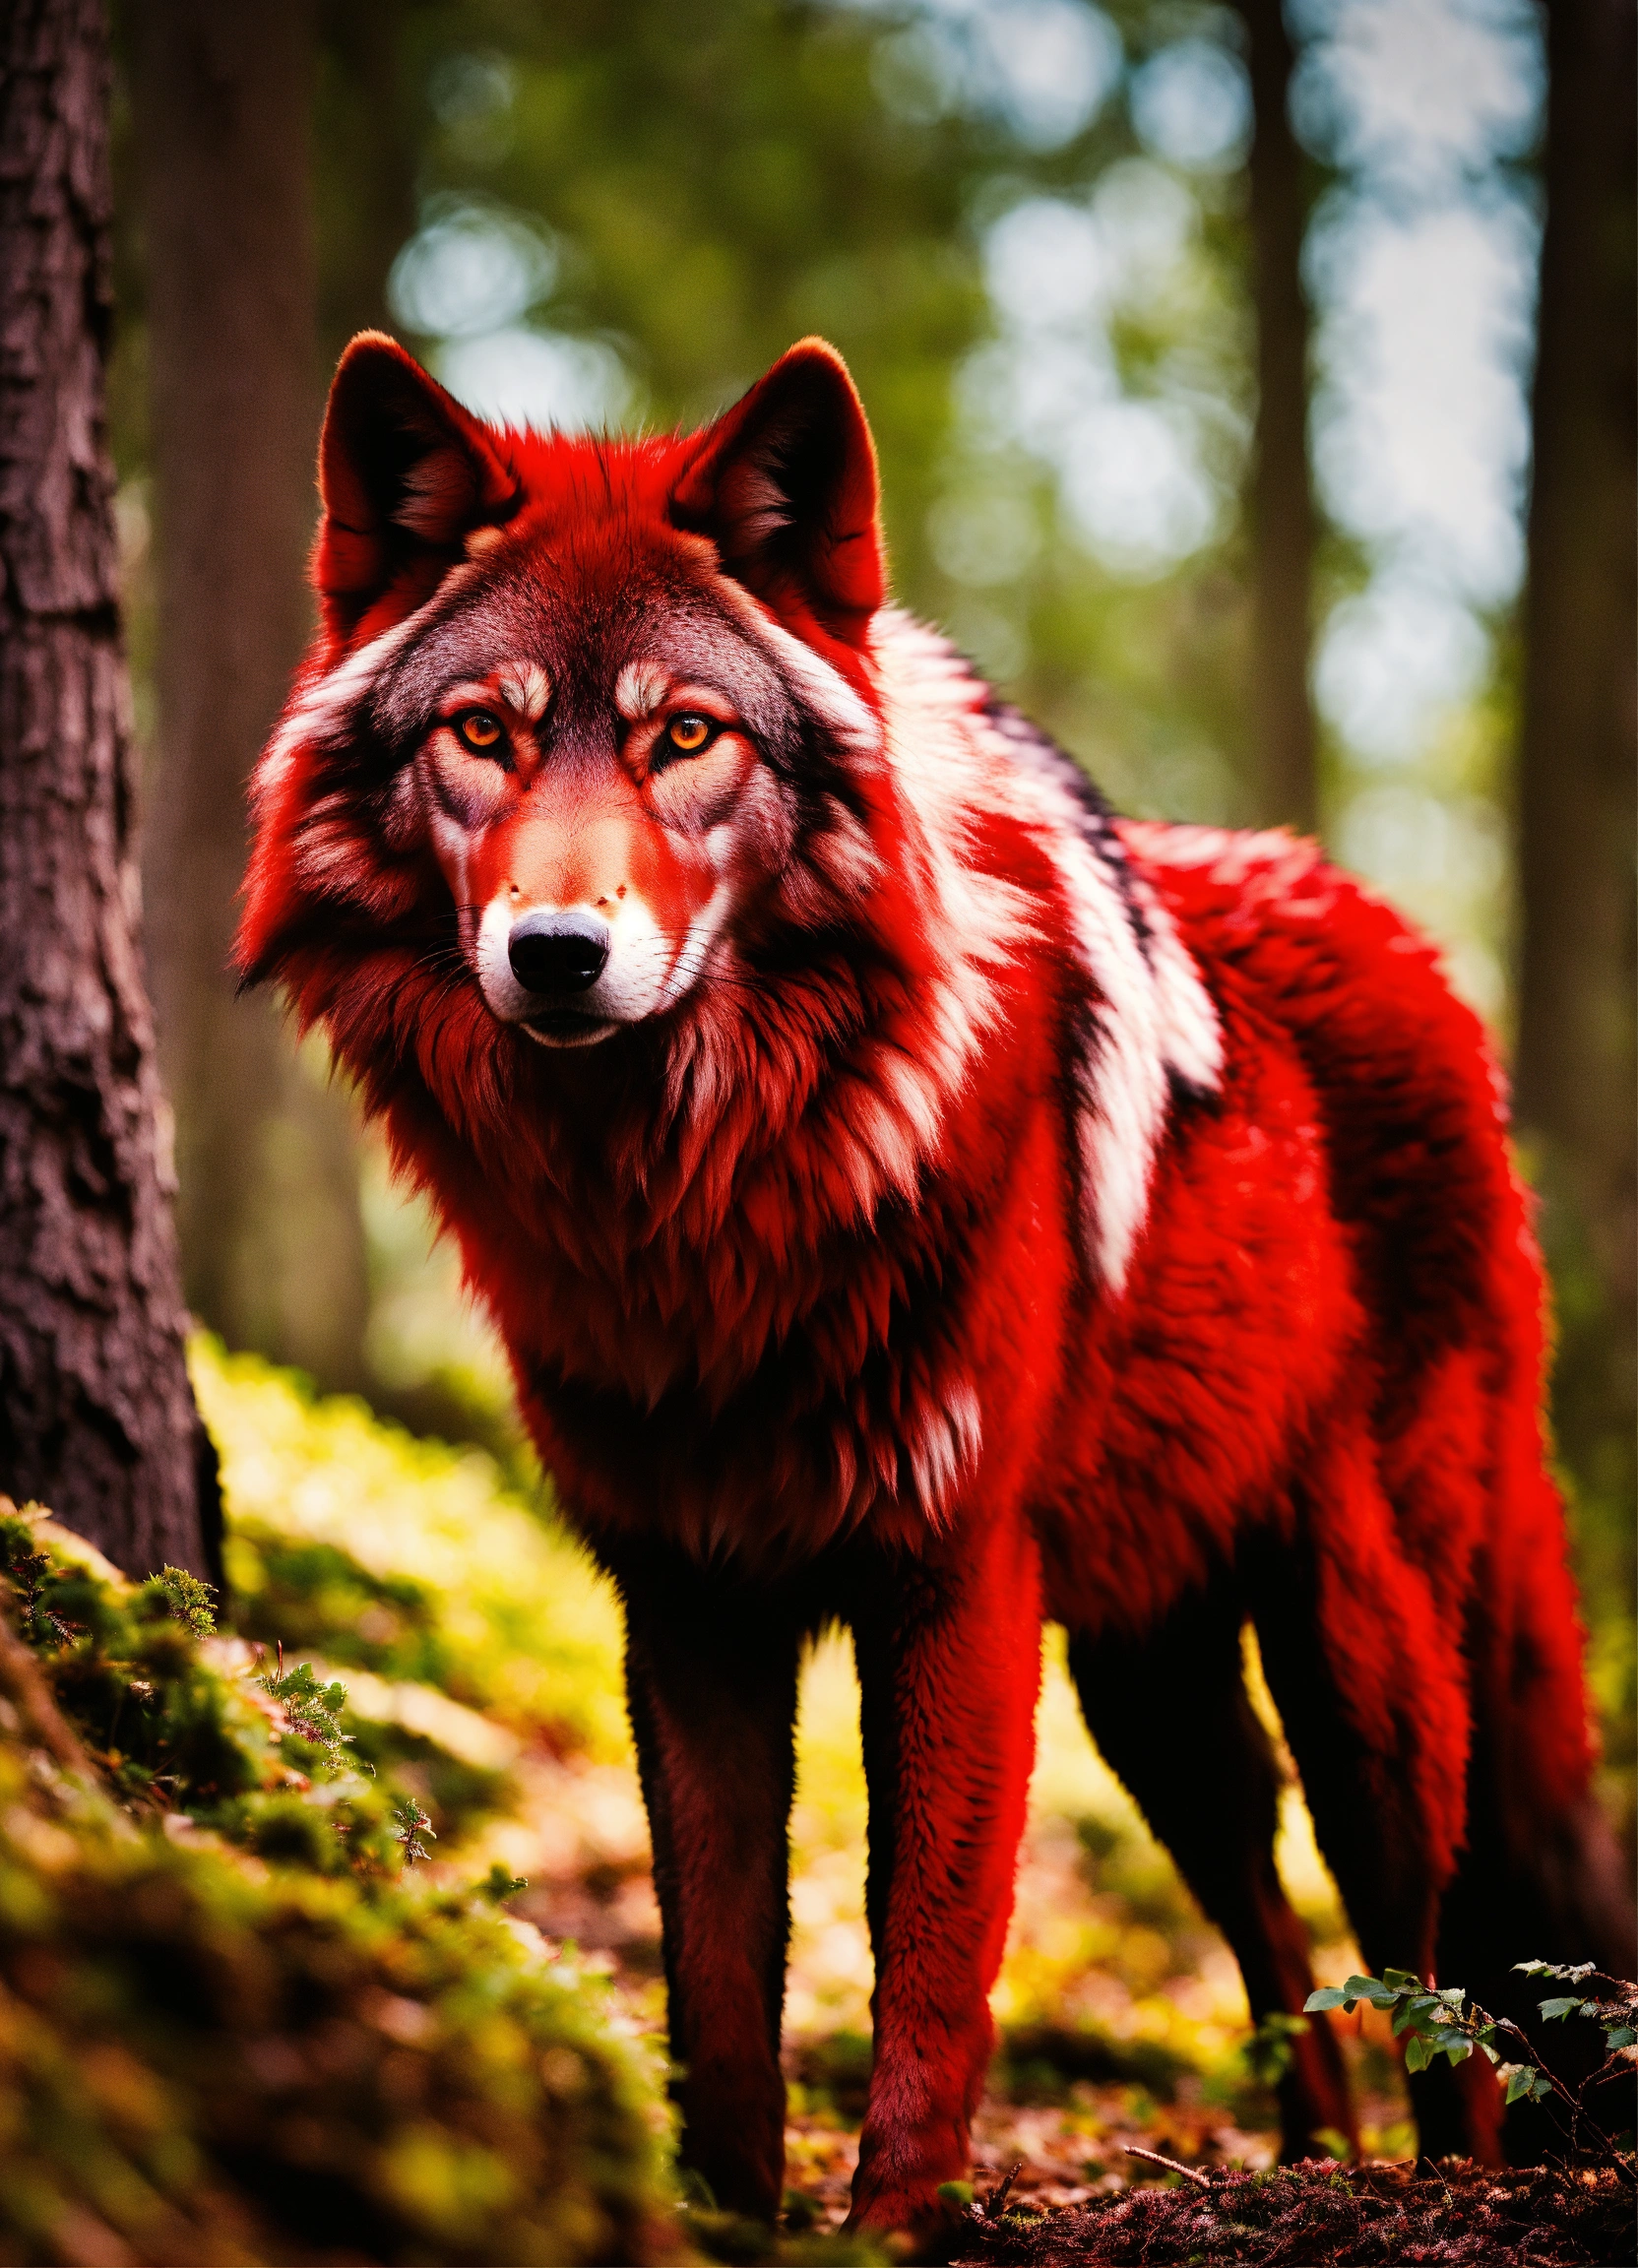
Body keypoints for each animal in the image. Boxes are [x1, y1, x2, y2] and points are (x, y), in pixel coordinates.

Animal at [239, 333, 1631, 2236]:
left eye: (688, 735)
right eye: (483, 732)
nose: (558, 954)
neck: (700, 1199)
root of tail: (1388, 926)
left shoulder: (950, 1579)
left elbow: (929, 1955)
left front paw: (893, 2228)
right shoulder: (684, 1594)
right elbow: (717, 1977)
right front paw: (724, 2223)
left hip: (1354, 1642)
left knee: (1423, 1946)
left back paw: (1434, 2183)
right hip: (1147, 1685)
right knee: (1278, 1938)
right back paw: (1308, 2157)